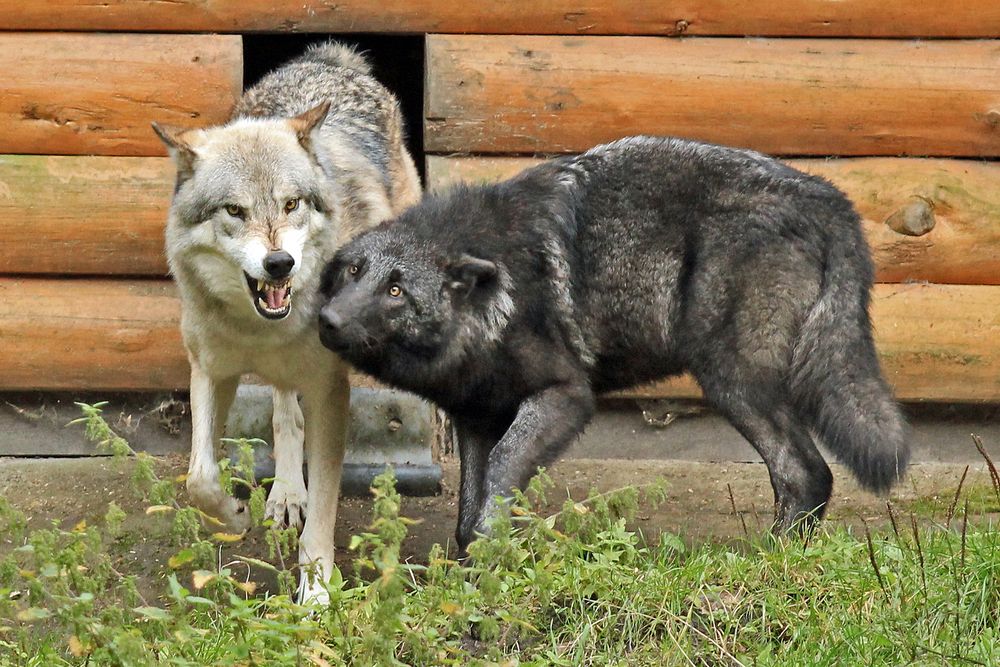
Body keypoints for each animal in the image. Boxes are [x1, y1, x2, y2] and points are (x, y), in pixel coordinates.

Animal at [150, 44, 420, 604]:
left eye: (291, 203)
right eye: (235, 210)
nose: (279, 264)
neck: (260, 331)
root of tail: (328, 62)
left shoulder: (329, 388)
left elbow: (324, 508)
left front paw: (315, 593)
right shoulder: (211, 372)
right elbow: (200, 477)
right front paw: (234, 516)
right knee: (282, 414)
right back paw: (284, 494)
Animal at [316, 133, 912, 552]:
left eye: (395, 290)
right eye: (351, 272)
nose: (328, 320)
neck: (496, 289)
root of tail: (829, 197)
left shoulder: (565, 396)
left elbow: (498, 483)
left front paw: (492, 564)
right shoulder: (477, 416)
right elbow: (466, 518)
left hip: (732, 381)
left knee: (806, 473)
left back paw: (769, 560)